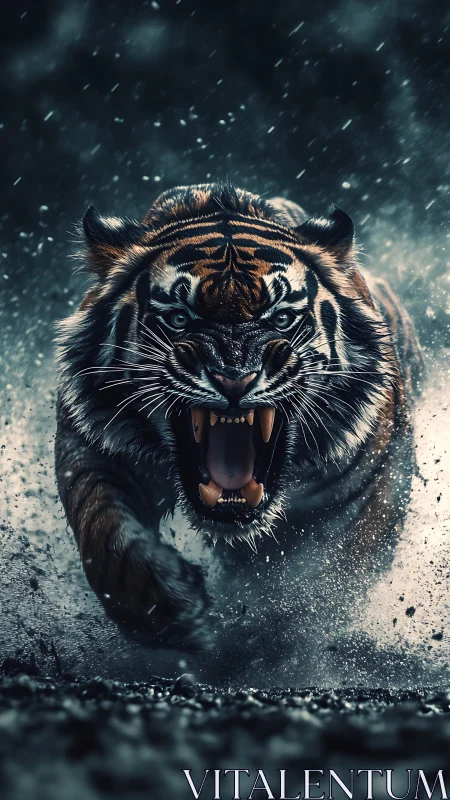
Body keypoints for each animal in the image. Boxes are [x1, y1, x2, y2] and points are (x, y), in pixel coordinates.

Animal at [55, 182, 424, 651]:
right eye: (179, 319)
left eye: (281, 317)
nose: (234, 379)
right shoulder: (93, 444)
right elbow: (104, 531)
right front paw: (170, 610)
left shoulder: (372, 478)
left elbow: (333, 574)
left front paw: (287, 629)